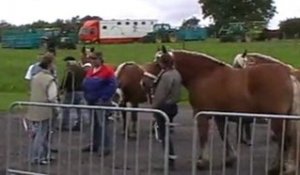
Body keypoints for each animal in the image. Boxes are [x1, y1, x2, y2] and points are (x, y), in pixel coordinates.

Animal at [149, 45, 300, 174]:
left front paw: (203, 162)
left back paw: (277, 168)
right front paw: (230, 159)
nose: (147, 81)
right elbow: (224, 136)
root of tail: (289, 74)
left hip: (277, 119)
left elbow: (203, 137)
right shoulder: (220, 115)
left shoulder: (201, 114)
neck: (204, 75)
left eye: (158, 63)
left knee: (284, 140)